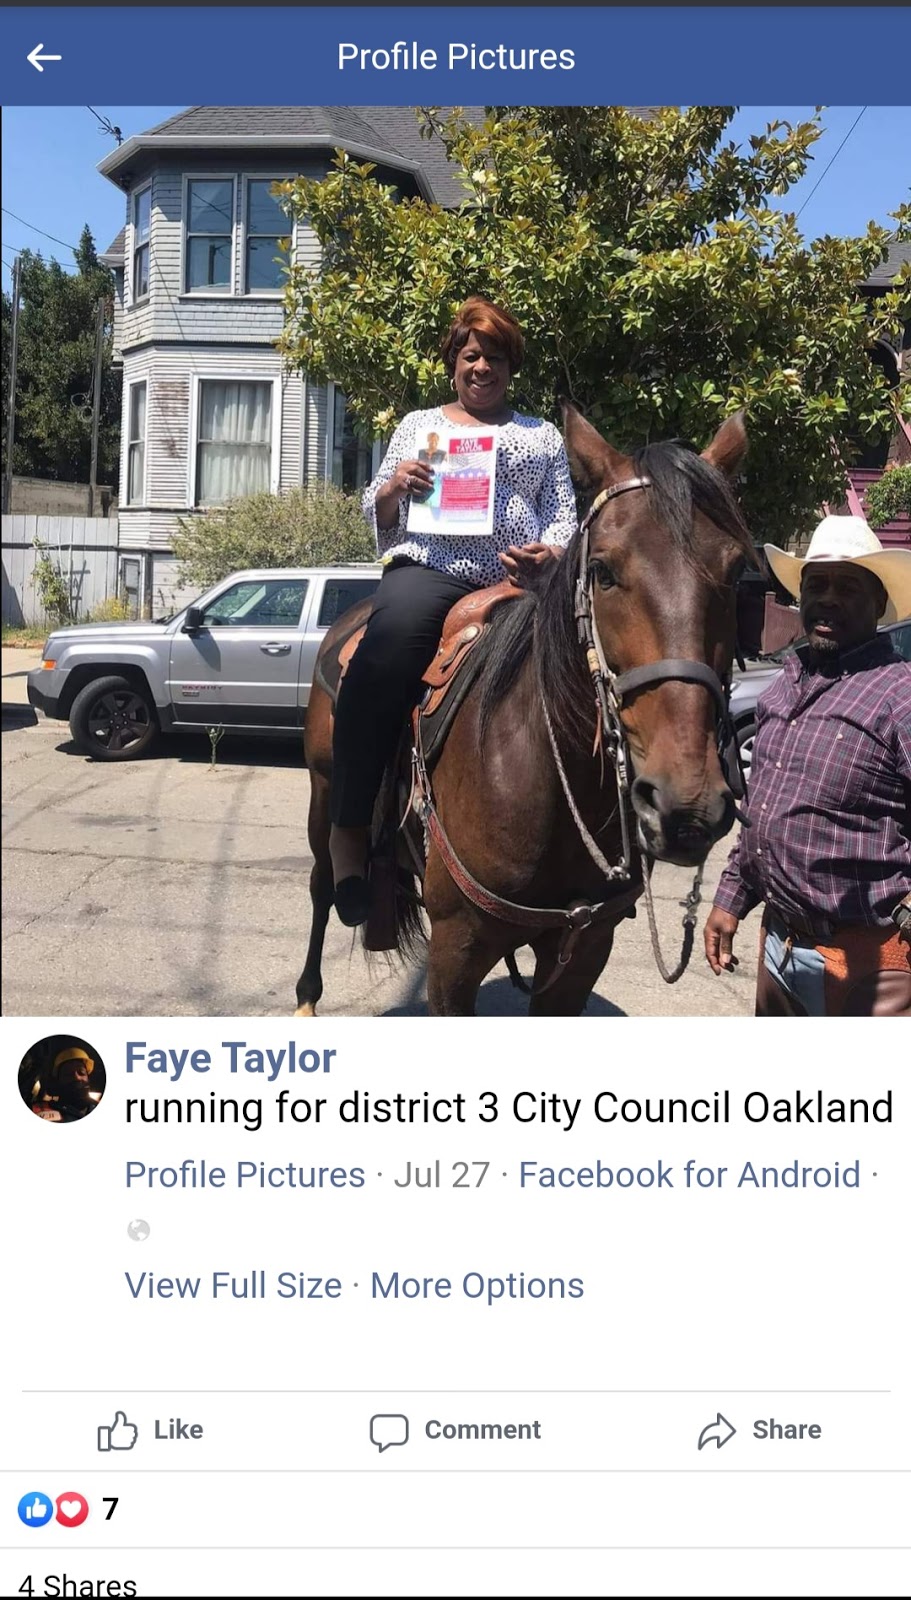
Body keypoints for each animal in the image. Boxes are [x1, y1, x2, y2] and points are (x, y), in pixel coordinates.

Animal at [296, 406, 752, 1017]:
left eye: (735, 572)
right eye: (602, 571)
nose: (688, 802)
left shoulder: (582, 952)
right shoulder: (454, 954)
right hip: (324, 792)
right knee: (323, 882)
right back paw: (309, 988)